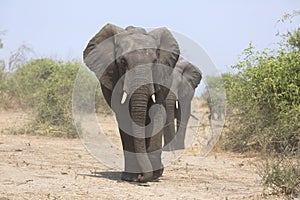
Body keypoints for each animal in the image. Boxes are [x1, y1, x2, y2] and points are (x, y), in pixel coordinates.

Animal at [83, 23, 179, 183]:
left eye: (154, 61)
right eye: (123, 62)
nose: (142, 178)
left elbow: (157, 111)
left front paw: (153, 175)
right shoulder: (113, 77)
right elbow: (124, 116)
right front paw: (131, 177)